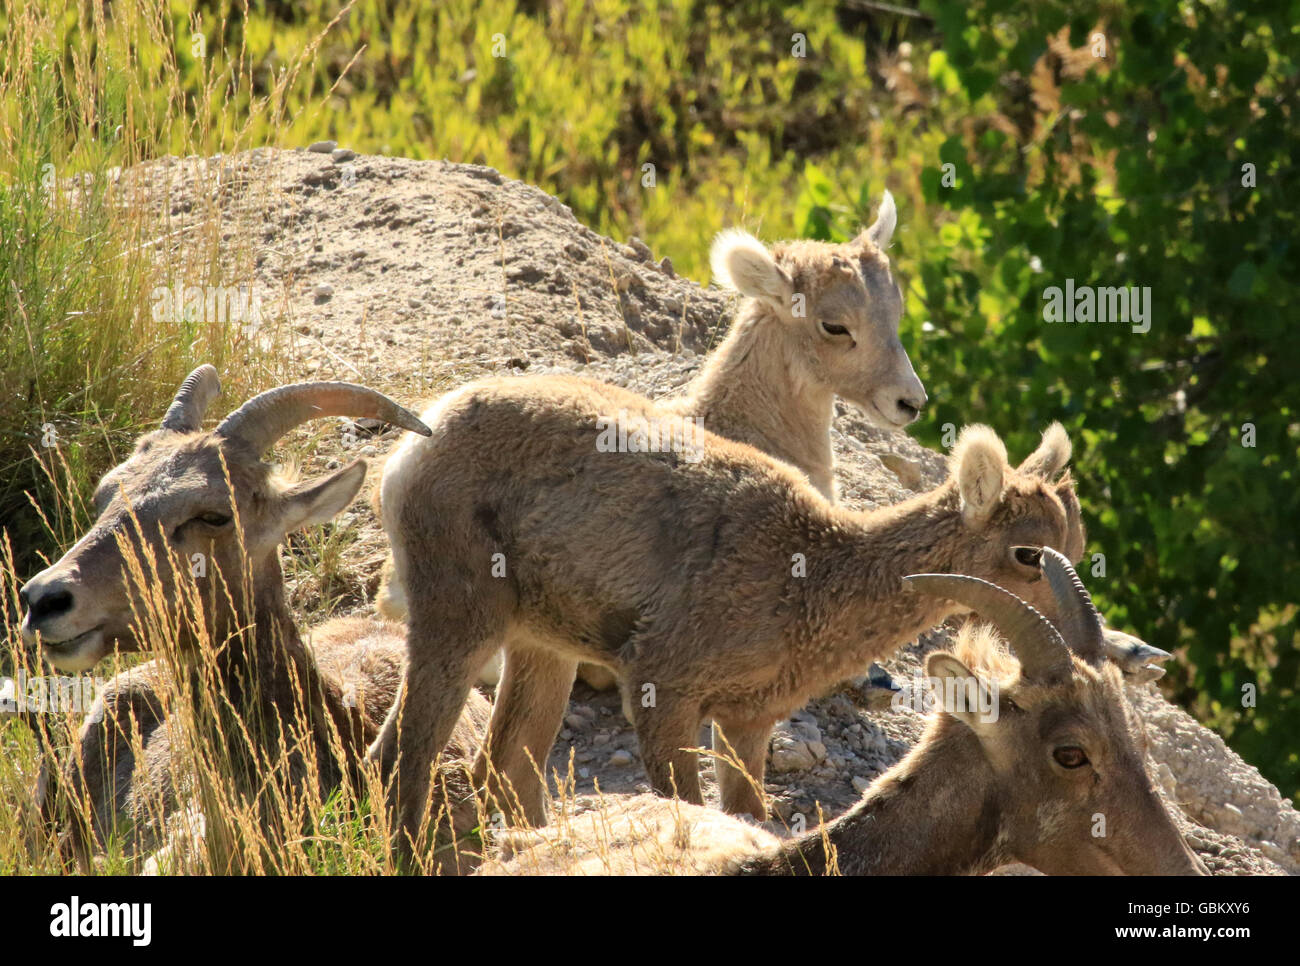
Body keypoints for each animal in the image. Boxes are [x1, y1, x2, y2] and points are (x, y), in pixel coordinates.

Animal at [374, 369, 1086, 847]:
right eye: (1028, 553)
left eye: (1076, 545)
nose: (1084, 644)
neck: (809, 581)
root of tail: (415, 446)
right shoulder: (663, 690)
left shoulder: (748, 724)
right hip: (459, 625)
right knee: (401, 758)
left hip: (542, 649)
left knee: (500, 769)